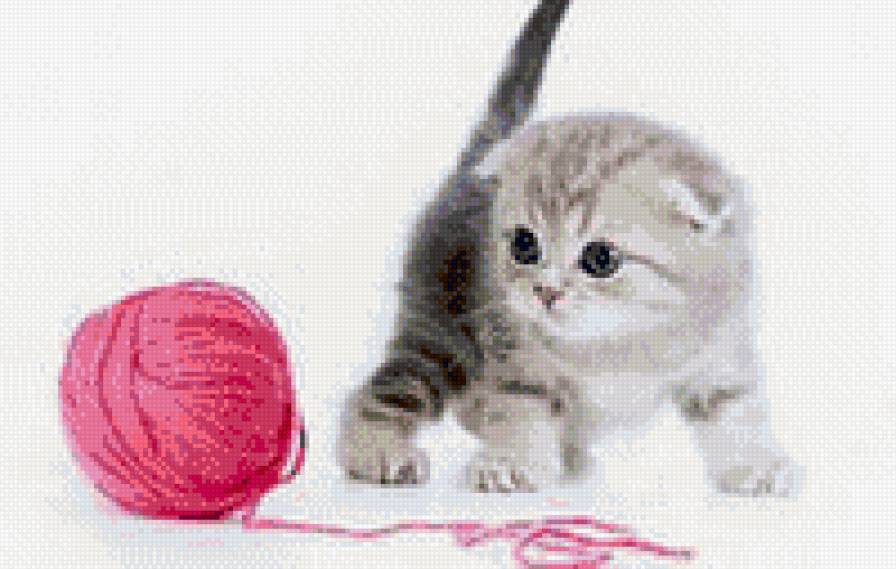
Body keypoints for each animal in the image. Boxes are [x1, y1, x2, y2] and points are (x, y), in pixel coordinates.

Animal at [337, 0, 799, 496]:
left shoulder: (721, 345)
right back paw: (378, 451)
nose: (547, 291)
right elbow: (520, 405)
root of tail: (469, 167)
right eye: (524, 244)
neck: (620, 336)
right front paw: (513, 461)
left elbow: (733, 406)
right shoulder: (515, 352)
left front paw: (754, 462)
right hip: (443, 331)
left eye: (600, 258)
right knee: (388, 390)